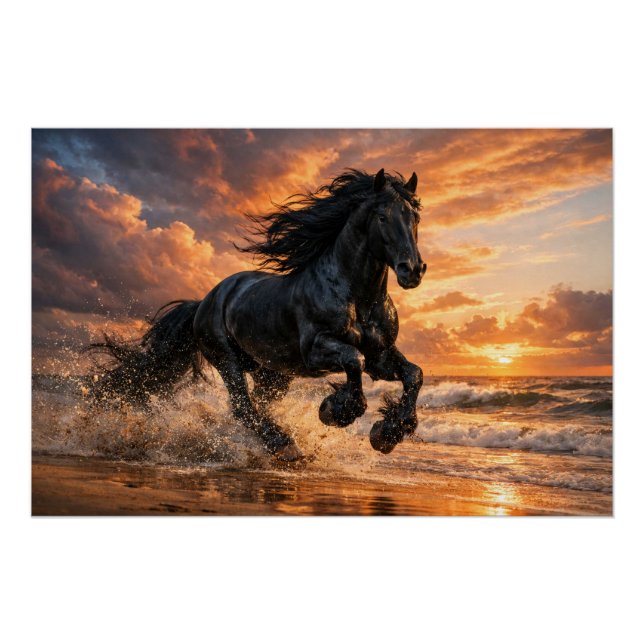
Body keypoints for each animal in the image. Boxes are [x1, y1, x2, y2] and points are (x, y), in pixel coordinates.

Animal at [87, 168, 427, 463]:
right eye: (382, 216)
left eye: (415, 217)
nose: (412, 270)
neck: (357, 298)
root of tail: (204, 301)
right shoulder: (316, 350)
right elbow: (354, 360)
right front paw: (334, 410)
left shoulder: (380, 355)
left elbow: (414, 374)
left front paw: (386, 433)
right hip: (226, 359)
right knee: (242, 407)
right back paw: (285, 445)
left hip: (271, 373)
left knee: (258, 404)